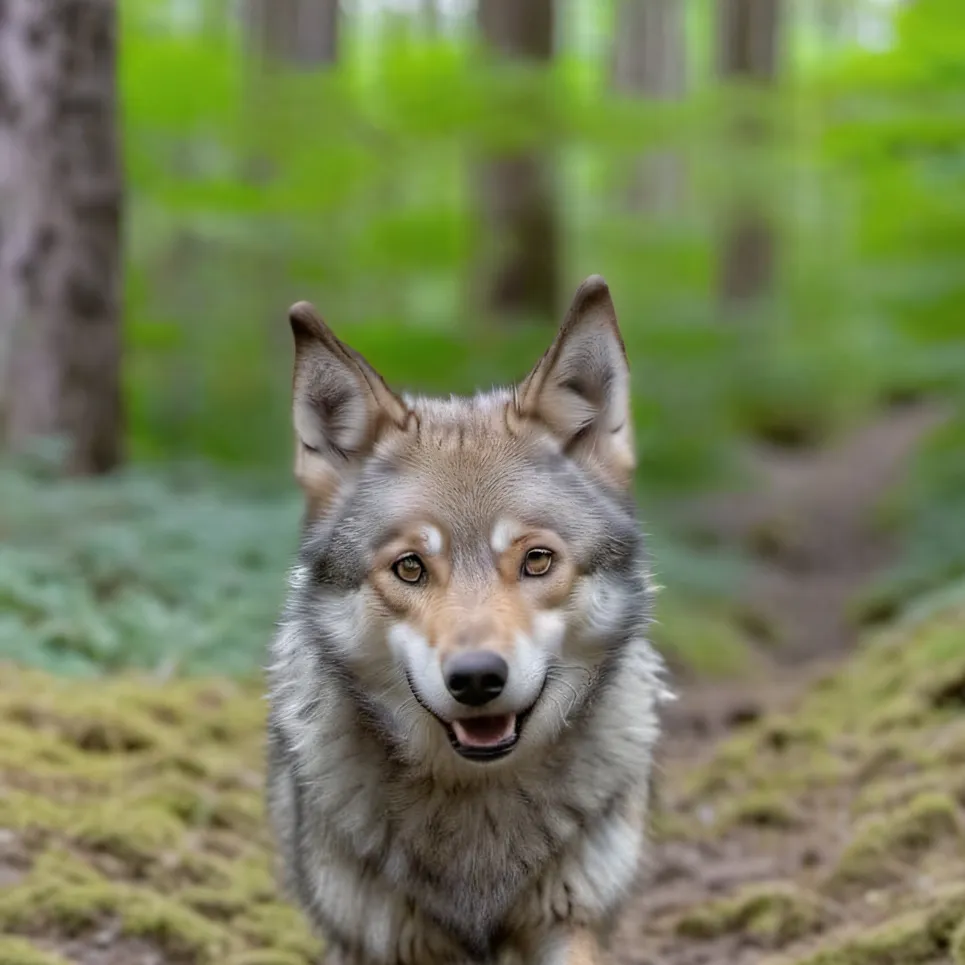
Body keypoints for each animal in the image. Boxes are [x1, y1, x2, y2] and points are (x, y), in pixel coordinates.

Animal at [265, 275, 670, 965]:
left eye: (537, 560)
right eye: (409, 568)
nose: (477, 678)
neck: (478, 802)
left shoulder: (570, 921)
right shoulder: (378, 941)